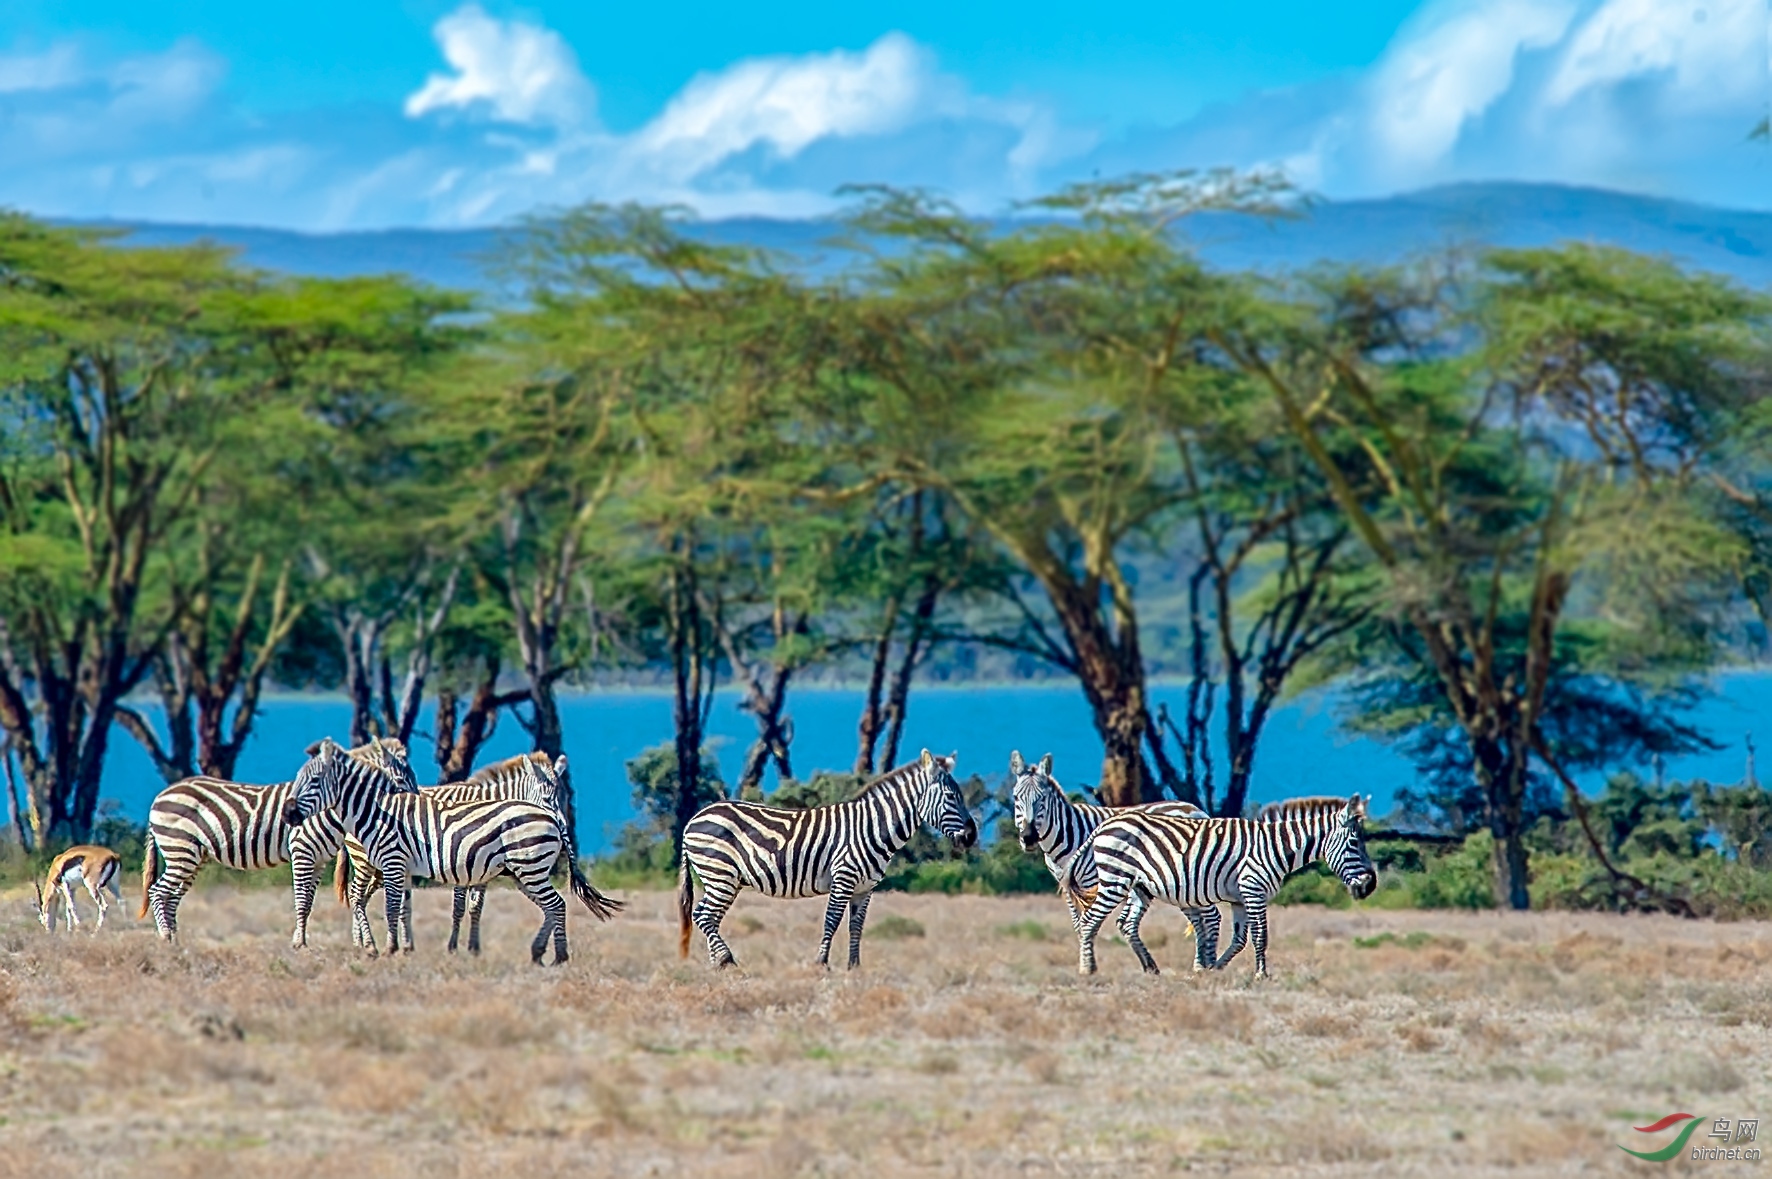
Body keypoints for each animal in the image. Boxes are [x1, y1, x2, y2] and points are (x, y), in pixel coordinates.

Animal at [142, 737, 418, 950]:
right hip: (180, 850)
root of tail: (160, 796)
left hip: (192, 857)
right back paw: (165, 938)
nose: (415, 804)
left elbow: (309, 903)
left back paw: (175, 942)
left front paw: (301, 941)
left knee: (171, 898)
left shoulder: (319, 860)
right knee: (157, 892)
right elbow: (301, 900)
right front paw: (299, 944)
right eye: (400, 780)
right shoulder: (302, 851)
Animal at [283, 741, 598, 964]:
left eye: (565, 797)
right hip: (366, 862)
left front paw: (468, 947)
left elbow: (471, 907)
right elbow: (456, 906)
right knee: (356, 896)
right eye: (549, 797)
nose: (563, 826)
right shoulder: (460, 864)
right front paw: (454, 947)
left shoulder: (473, 867)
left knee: (554, 905)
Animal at [676, 748, 985, 971]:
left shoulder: (865, 888)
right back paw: (726, 960)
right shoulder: (844, 877)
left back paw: (717, 964)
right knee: (703, 915)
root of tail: (694, 818)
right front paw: (821, 963)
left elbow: (856, 926)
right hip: (720, 874)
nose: (972, 836)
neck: (872, 827)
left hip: (725, 879)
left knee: (708, 916)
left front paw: (854, 967)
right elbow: (832, 920)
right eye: (951, 796)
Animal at [1056, 794, 1375, 978]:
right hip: (1115, 879)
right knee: (1089, 921)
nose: (1370, 887)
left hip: (1139, 886)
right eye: (1354, 843)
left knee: (1124, 923)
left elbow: (1240, 939)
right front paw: (1261, 975)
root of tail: (1108, 822)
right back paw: (1088, 969)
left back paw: (1148, 967)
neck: (1272, 847)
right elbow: (1261, 936)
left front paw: (1214, 968)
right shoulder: (1254, 890)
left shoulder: (1239, 899)